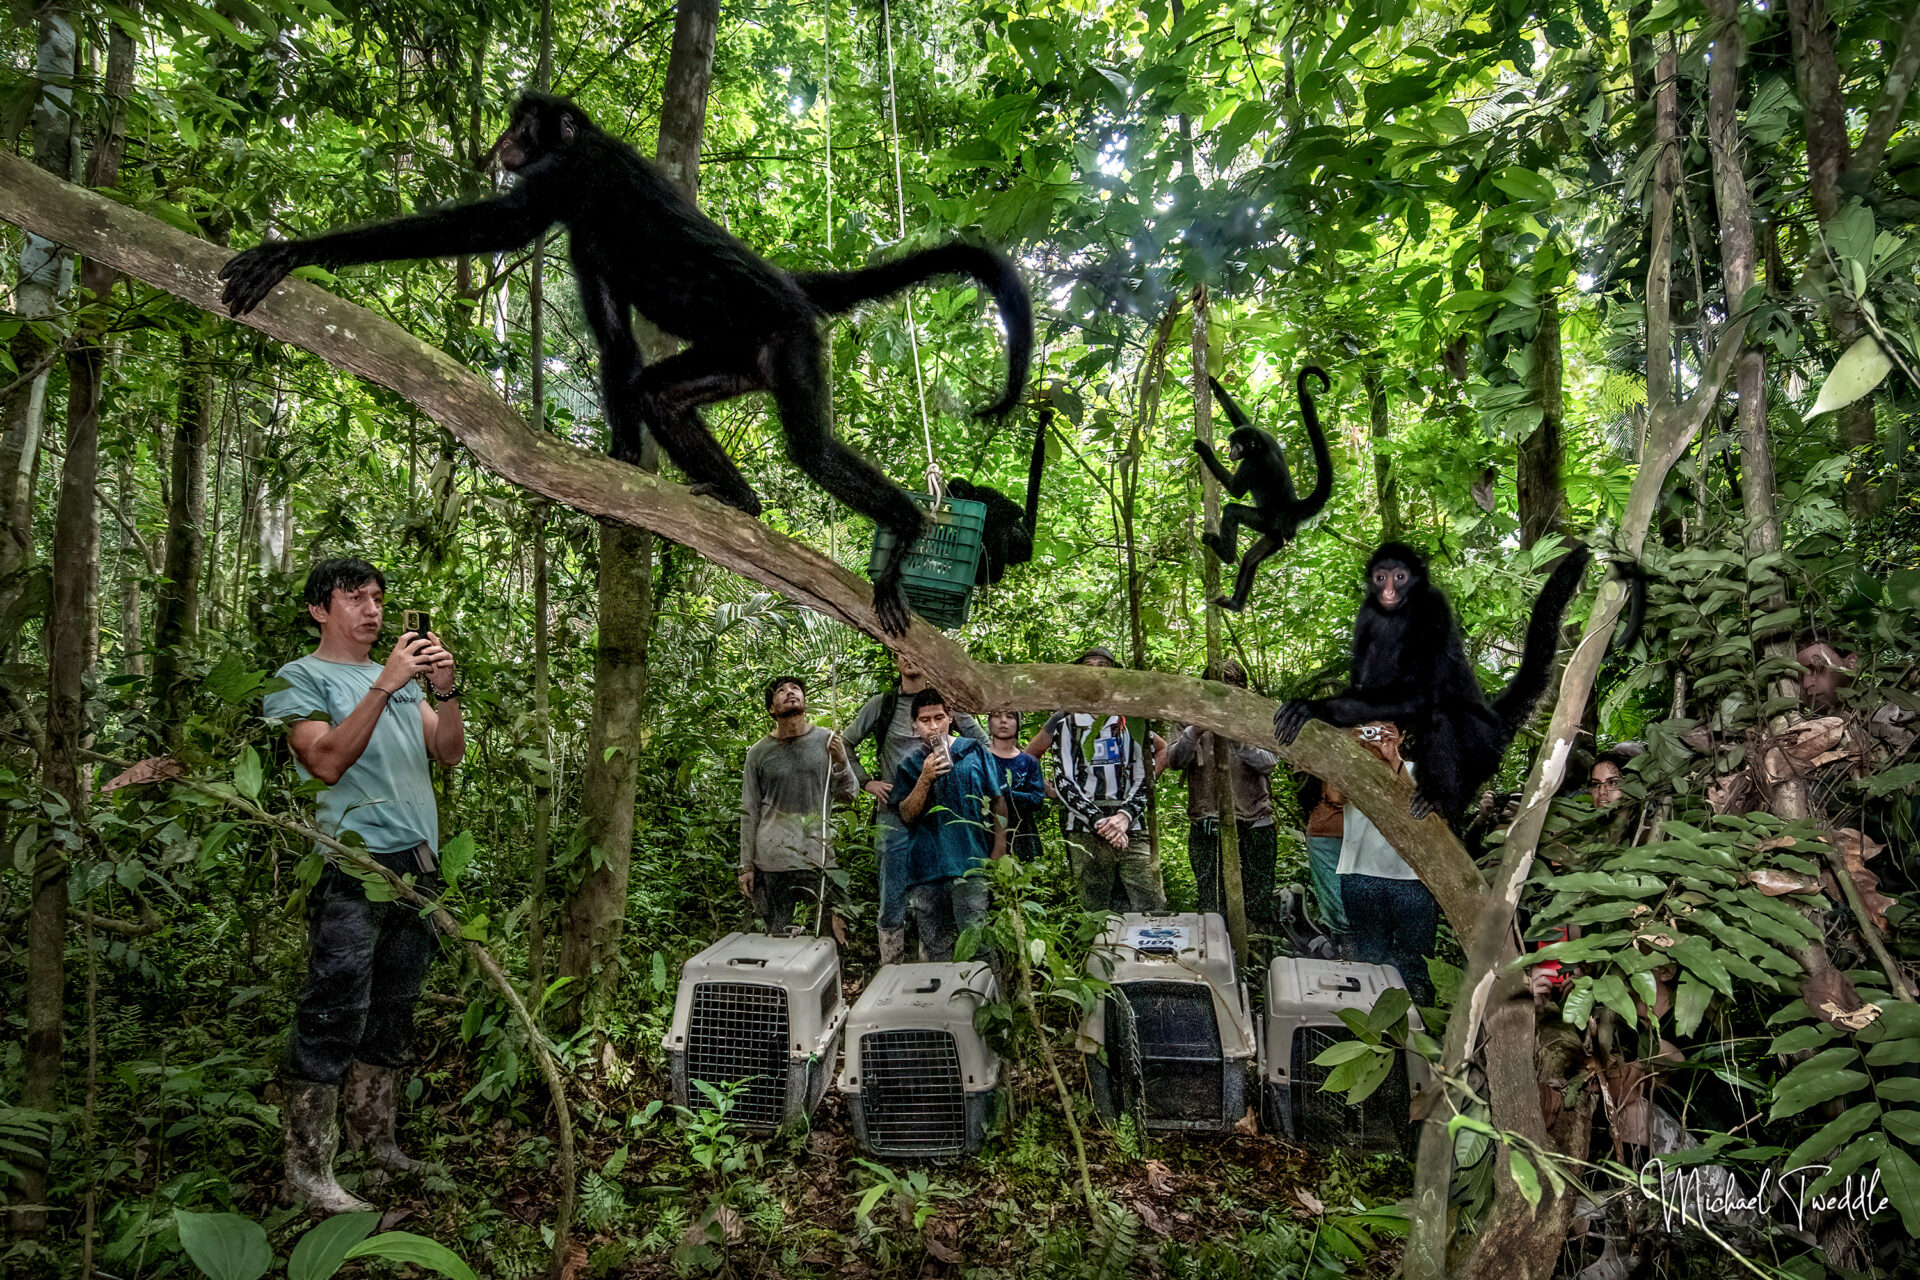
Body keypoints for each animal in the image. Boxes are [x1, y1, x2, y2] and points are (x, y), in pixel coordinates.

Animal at [219, 90, 1036, 637]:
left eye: (523, 126)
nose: (502, 141)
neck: (587, 149)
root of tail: (788, 284)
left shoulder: (574, 175)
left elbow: (493, 226)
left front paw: (298, 252)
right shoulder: (583, 227)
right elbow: (618, 348)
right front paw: (616, 465)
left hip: (789, 339)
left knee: (809, 447)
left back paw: (903, 526)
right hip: (743, 358)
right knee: (658, 392)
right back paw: (737, 499)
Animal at [944, 401, 1052, 587]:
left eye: (960, 489)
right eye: (954, 493)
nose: (959, 493)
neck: (973, 496)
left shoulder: (985, 491)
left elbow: (1013, 509)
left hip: (1021, 545)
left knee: (1002, 527)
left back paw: (995, 574)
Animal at [1182, 368, 1336, 614]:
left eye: (1237, 446)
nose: (1231, 451)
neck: (1261, 447)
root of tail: (1292, 507)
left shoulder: (1252, 463)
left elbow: (1235, 492)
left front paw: (1204, 449)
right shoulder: (1266, 436)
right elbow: (1242, 421)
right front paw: (1214, 384)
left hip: (1268, 521)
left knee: (1233, 511)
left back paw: (1226, 555)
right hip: (1279, 534)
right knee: (1251, 558)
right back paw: (1236, 603)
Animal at [1274, 545, 1589, 825]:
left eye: (1400, 577)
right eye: (1381, 577)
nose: (1388, 592)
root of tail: (1493, 721)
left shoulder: (1431, 606)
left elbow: (1421, 695)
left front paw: (1313, 708)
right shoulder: (1368, 611)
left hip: (1479, 746)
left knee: (1441, 716)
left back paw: (1440, 799)